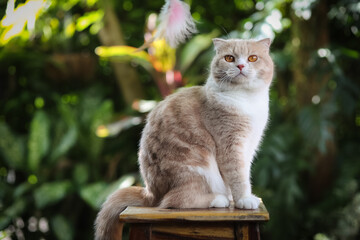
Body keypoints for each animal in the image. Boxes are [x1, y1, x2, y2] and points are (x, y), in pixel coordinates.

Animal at [94, 37, 274, 240]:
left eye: (253, 58)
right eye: (229, 58)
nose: (241, 65)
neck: (246, 101)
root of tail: (150, 193)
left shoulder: (249, 146)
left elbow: (239, 176)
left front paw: (236, 197)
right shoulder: (230, 145)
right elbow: (238, 176)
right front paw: (244, 200)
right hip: (196, 166)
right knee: (172, 201)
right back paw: (217, 199)